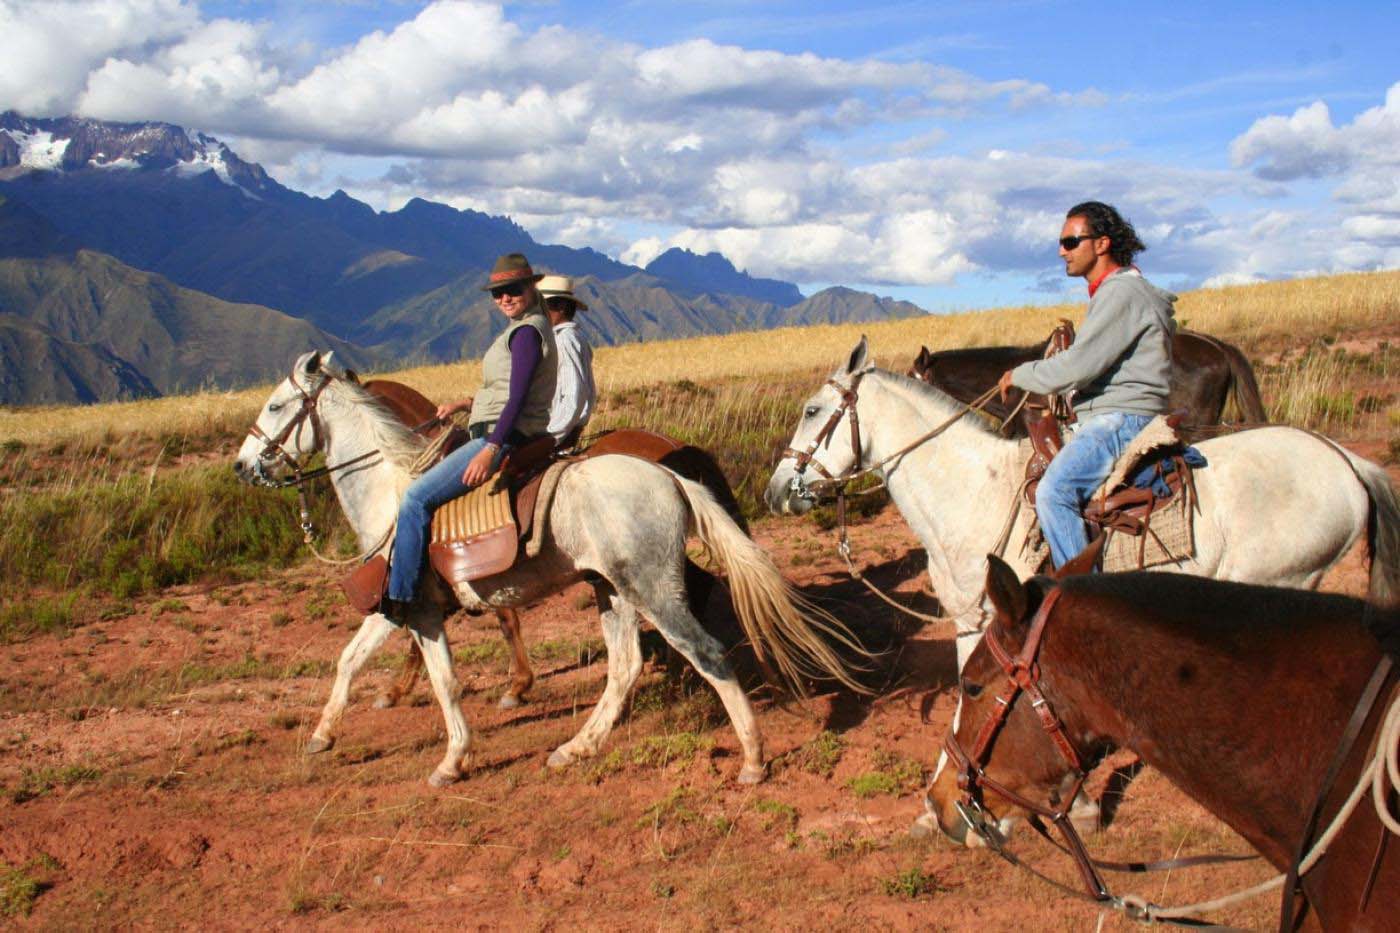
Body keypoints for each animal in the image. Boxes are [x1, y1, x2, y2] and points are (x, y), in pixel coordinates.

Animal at [235, 348, 856, 784]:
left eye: (275, 405)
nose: (243, 465)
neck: (392, 495)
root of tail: (668, 473)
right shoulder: (409, 610)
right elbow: (351, 662)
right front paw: (323, 736)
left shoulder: (409, 608)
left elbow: (441, 681)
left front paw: (451, 758)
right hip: (612, 591)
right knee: (625, 667)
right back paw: (578, 747)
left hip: (652, 589)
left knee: (705, 653)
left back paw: (752, 757)